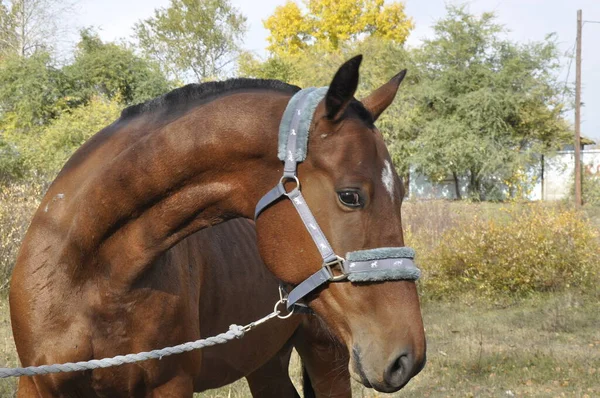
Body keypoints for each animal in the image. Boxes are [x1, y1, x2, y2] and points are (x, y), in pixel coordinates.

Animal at [7, 56, 424, 398]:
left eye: (403, 192)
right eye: (350, 196)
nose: (408, 357)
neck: (88, 269)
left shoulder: (171, 385)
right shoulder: (35, 384)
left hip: (324, 354)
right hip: (266, 362)